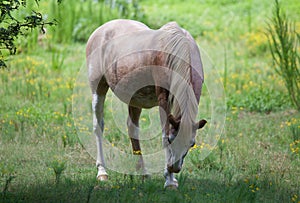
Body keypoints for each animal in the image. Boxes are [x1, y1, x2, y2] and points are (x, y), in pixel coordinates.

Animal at [84, 19, 206, 189]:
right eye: (171, 140)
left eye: (192, 144)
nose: (174, 168)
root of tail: (101, 29)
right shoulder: (163, 100)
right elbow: (163, 134)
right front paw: (169, 181)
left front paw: (172, 179)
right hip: (98, 89)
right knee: (98, 126)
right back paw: (102, 172)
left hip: (135, 98)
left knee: (132, 129)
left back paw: (143, 173)